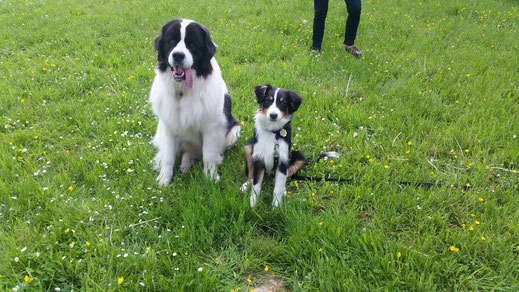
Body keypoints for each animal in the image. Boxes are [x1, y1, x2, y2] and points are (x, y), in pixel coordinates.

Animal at [149, 19, 241, 186]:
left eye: (192, 44)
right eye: (171, 41)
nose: (178, 55)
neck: (182, 92)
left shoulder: (212, 127)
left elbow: (209, 155)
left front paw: (210, 178)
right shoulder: (168, 126)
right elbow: (168, 156)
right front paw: (164, 179)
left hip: (233, 132)